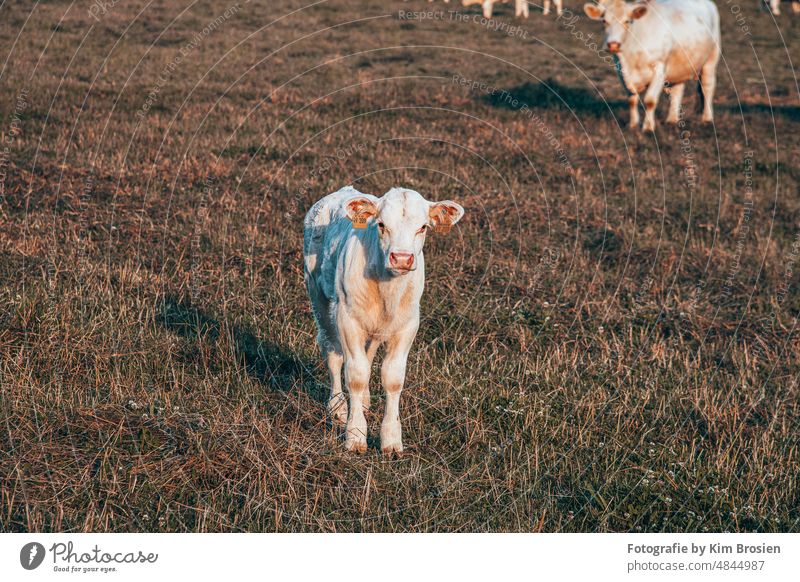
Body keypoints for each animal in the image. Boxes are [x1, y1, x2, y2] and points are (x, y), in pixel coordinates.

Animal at [304, 187, 466, 456]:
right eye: (381, 224)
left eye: (423, 227)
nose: (401, 258)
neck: (387, 289)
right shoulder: (347, 320)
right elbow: (356, 375)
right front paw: (355, 435)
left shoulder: (407, 325)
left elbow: (392, 378)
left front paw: (391, 440)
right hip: (319, 297)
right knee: (333, 353)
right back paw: (338, 407)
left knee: (367, 355)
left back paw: (364, 402)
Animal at [584, 0, 720, 131]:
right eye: (604, 21)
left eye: (627, 21)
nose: (613, 44)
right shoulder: (621, 72)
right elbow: (632, 99)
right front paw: (633, 125)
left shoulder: (659, 68)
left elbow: (650, 101)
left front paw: (648, 127)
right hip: (680, 65)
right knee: (677, 90)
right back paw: (672, 119)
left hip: (711, 59)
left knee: (707, 87)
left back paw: (707, 118)